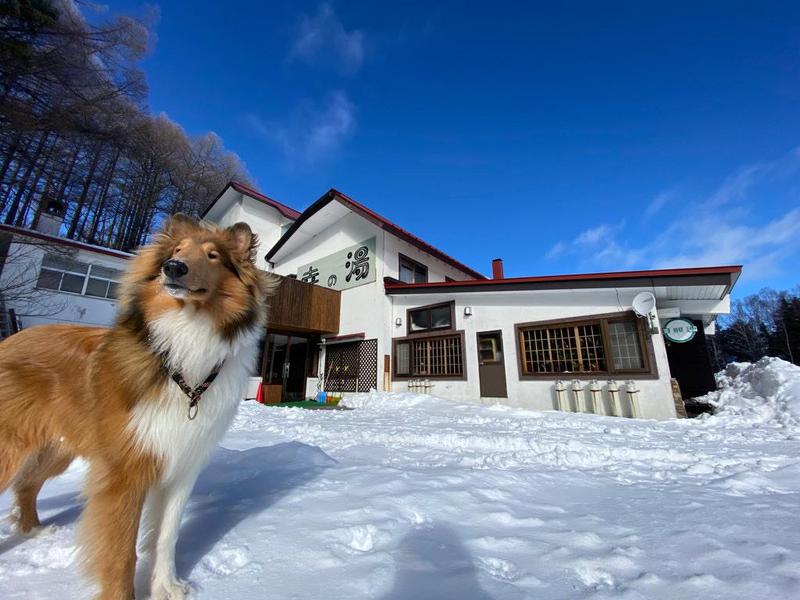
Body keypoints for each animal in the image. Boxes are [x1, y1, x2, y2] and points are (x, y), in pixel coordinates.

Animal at [0, 213, 278, 596]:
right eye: (176, 251)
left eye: (213, 256)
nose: (172, 268)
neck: (187, 338)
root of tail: (11, 339)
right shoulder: (124, 470)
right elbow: (120, 552)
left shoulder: (182, 466)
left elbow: (166, 536)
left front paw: (168, 587)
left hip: (57, 449)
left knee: (27, 485)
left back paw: (33, 531)